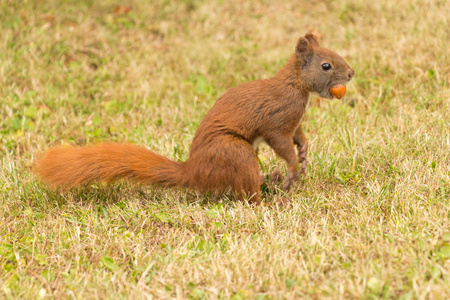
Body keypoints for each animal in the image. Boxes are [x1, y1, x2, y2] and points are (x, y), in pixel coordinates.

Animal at [35, 33, 354, 204]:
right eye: (326, 65)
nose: (351, 73)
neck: (296, 86)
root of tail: (195, 172)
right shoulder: (276, 122)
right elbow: (282, 144)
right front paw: (291, 169)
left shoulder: (294, 123)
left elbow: (300, 138)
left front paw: (304, 155)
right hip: (235, 151)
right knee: (247, 196)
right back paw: (273, 199)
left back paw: (270, 181)